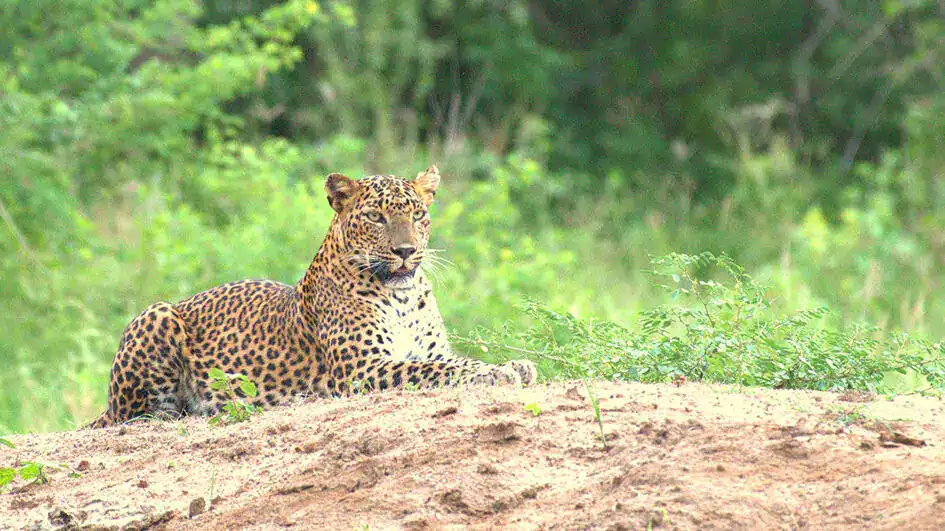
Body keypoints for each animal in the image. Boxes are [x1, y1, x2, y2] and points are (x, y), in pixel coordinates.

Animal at [88, 166, 536, 428]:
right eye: (375, 217)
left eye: (418, 215)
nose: (407, 251)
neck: (402, 298)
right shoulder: (364, 369)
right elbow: (434, 370)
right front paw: (497, 373)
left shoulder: (429, 348)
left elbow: (447, 360)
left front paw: (515, 364)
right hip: (156, 314)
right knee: (141, 416)